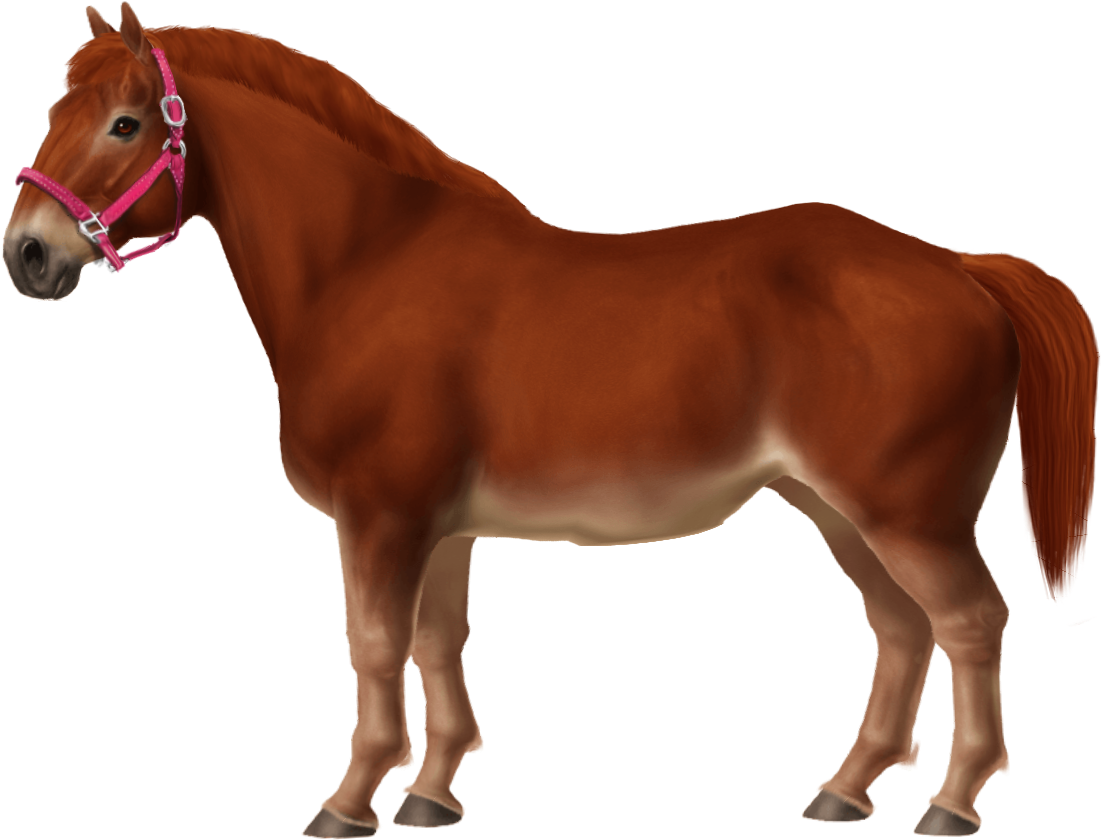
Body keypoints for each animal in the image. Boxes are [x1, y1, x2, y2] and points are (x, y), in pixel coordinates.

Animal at [4, 4, 1097, 837]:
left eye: (127, 125)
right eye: (58, 106)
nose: (28, 254)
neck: (367, 262)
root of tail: (957, 265)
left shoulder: (381, 517)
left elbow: (372, 645)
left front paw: (350, 802)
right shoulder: (440, 526)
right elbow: (438, 642)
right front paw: (432, 792)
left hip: (908, 516)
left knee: (968, 624)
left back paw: (951, 804)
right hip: (835, 510)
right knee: (902, 629)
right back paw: (845, 789)